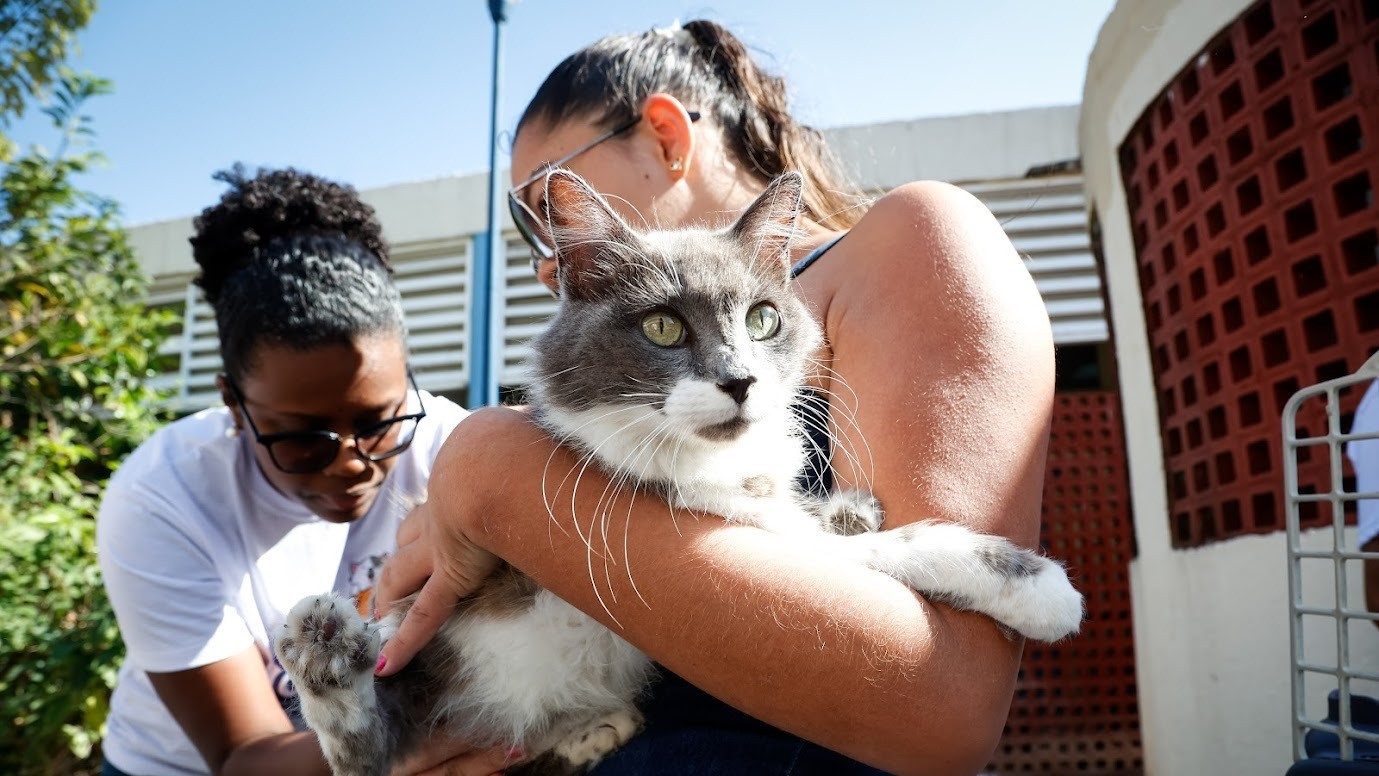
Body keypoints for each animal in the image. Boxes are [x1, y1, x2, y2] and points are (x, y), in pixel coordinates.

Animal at [274, 170, 1081, 776]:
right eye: (662, 326)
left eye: (762, 319)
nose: (740, 382)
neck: (714, 458)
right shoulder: (705, 511)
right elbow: (882, 548)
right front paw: (1036, 588)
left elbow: (827, 520)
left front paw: (850, 507)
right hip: (418, 641)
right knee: (368, 751)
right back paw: (325, 652)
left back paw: (588, 732)